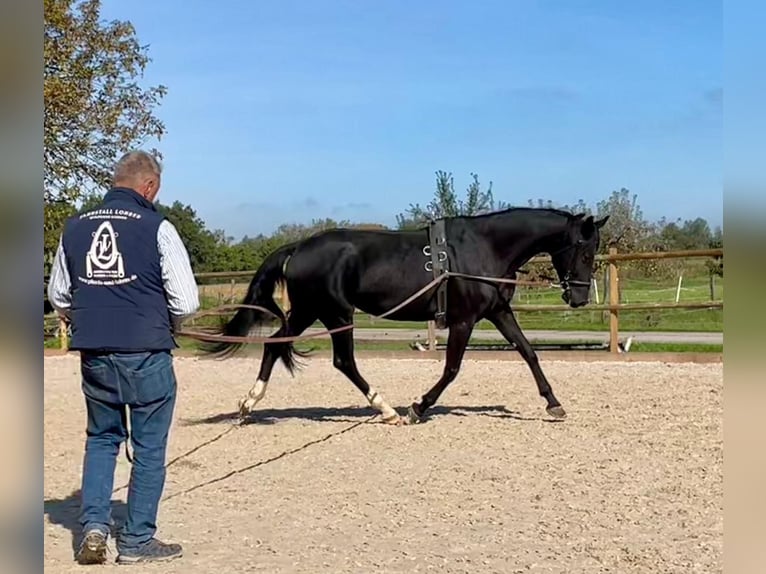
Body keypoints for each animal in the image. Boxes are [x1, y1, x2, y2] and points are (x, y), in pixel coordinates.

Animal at [201, 207, 608, 425]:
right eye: (585, 251)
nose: (578, 298)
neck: (483, 248)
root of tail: (298, 246)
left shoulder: (498, 312)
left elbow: (528, 352)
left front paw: (554, 403)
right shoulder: (463, 320)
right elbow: (452, 369)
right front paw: (417, 407)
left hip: (308, 312)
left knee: (275, 345)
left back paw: (248, 405)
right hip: (334, 313)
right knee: (343, 361)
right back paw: (386, 409)